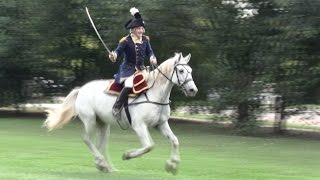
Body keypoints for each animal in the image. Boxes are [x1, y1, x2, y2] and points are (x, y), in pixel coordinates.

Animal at [43, 52, 198, 174]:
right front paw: (127, 155)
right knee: (87, 139)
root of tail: (81, 89)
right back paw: (102, 163)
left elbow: (174, 141)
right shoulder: (139, 126)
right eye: (181, 71)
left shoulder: (161, 124)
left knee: (101, 144)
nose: (193, 90)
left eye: (190, 70)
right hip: (89, 120)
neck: (154, 94)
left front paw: (172, 165)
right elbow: (149, 146)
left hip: (103, 124)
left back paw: (105, 166)